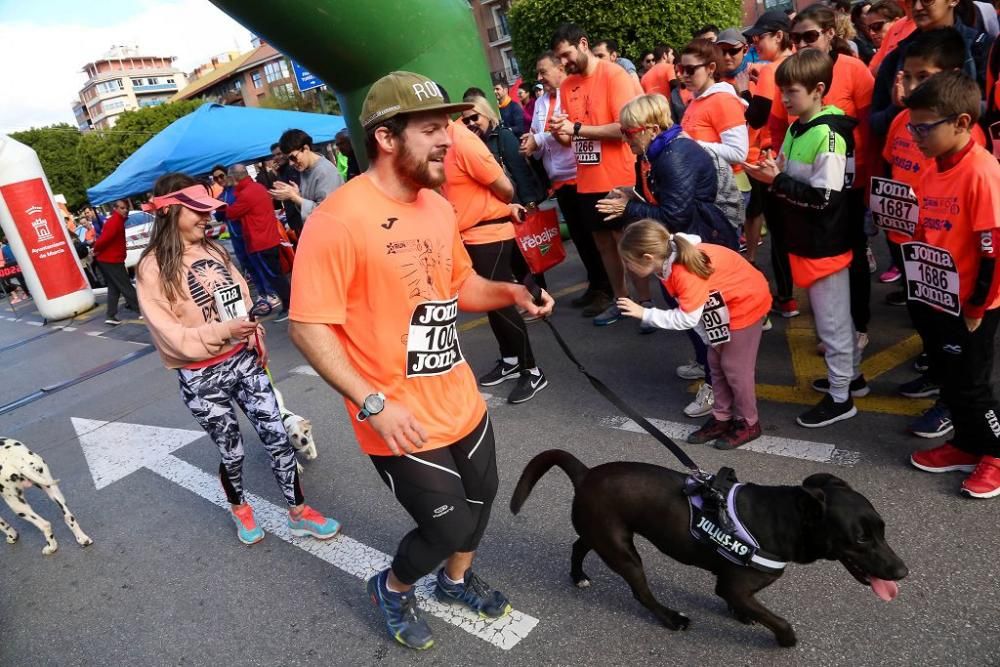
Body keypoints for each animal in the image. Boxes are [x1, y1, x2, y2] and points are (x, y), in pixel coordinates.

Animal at [512, 448, 912, 648]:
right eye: (861, 538)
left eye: (882, 530)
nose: (903, 572)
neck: (785, 519)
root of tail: (586, 473)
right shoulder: (735, 586)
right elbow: (778, 620)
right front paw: (785, 639)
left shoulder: (733, 586)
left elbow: (745, 605)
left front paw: (744, 616)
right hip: (624, 552)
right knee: (642, 593)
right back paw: (671, 618)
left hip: (606, 535)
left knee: (580, 545)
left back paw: (577, 575)